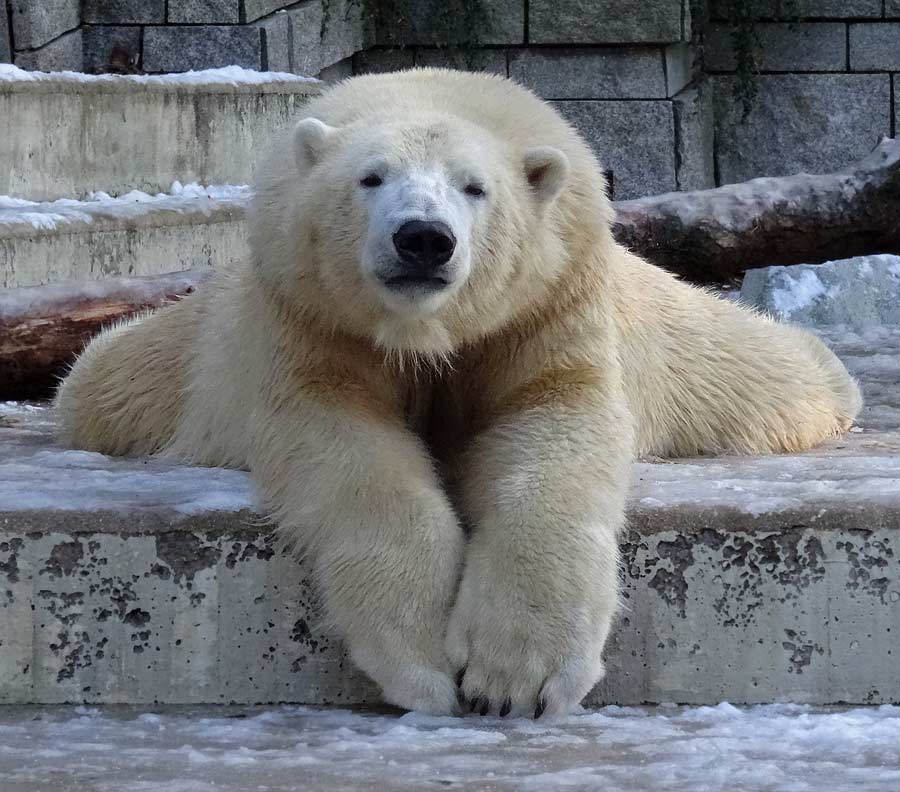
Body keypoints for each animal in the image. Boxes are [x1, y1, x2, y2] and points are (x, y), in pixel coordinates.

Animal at [52, 69, 860, 716]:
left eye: (476, 187)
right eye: (370, 177)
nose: (422, 239)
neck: (428, 335)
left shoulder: (548, 305)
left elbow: (552, 422)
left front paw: (516, 679)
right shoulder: (313, 322)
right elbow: (343, 440)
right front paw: (425, 663)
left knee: (769, 372)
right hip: (176, 358)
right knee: (108, 381)